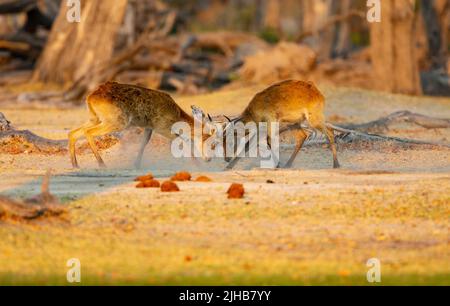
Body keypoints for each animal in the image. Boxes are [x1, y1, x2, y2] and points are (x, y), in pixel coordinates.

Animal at [69, 81, 216, 169]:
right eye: (210, 142)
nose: (209, 159)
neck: (176, 115)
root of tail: (89, 97)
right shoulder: (160, 126)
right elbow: (181, 140)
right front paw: (196, 164)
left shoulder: (149, 127)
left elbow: (144, 142)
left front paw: (137, 164)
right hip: (117, 121)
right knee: (88, 132)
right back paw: (101, 164)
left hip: (95, 118)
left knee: (74, 132)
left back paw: (75, 165)